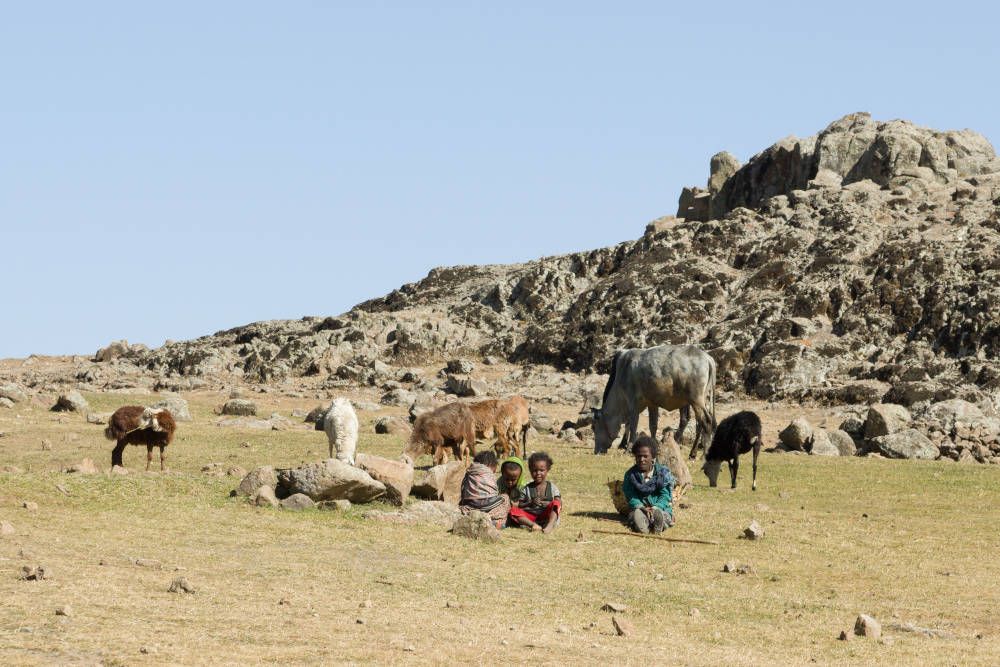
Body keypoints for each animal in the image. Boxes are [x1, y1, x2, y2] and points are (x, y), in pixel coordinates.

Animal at [588, 344, 716, 460]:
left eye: (594, 427)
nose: (596, 451)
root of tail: (707, 357)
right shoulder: (651, 404)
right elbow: (653, 426)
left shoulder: (633, 403)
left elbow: (633, 425)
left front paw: (628, 449)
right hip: (697, 401)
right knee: (698, 423)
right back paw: (692, 453)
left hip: (696, 400)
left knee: (706, 421)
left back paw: (703, 455)